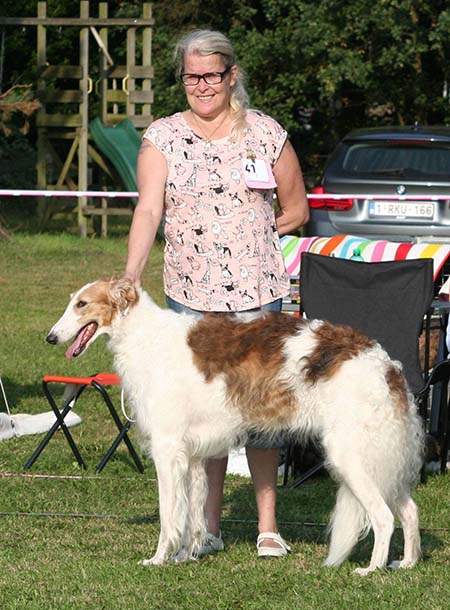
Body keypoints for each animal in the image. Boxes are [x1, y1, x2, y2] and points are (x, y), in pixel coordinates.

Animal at [46, 277, 424, 574]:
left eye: (82, 304)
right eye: (71, 301)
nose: (50, 337)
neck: (146, 339)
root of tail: (383, 362)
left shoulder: (168, 450)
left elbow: (169, 515)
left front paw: (158, 559)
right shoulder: (192, 455)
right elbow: (193, 514)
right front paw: (187, 555)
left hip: (350, 455)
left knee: (383, 516)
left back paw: (372, 568)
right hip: (381, 456)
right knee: (409, 510)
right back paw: (406, 563)